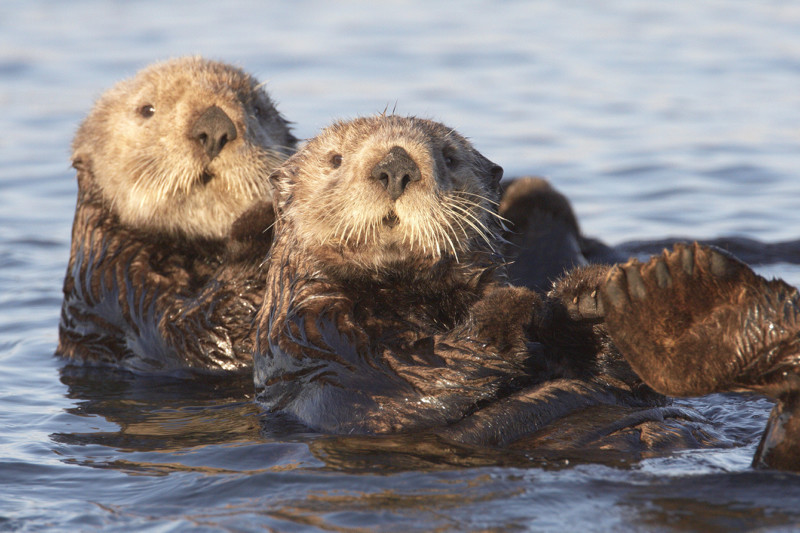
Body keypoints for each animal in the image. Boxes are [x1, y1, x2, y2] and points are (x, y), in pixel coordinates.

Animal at [57, 57, 297, 373]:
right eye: (146, 109)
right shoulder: (120, 288)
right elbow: (198, 335)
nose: (215, 126)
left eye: (257, 110)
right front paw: (264, 220)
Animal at [254, 115, 800, 471]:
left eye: (449, 157)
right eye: (335, 159)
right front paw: (509, 305)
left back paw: (676, 293)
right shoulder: (323, 343)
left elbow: (621, 378)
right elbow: (405, 382)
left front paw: (585, 296)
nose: (394, 167)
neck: (409, 295)